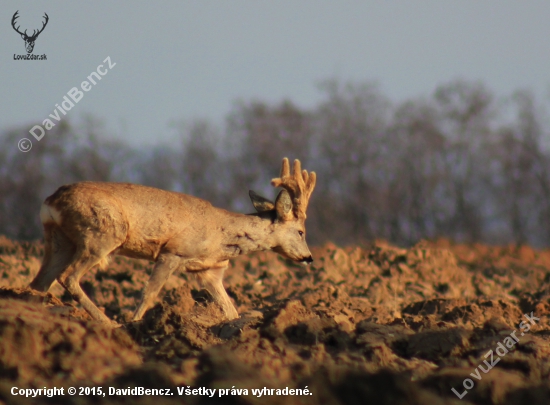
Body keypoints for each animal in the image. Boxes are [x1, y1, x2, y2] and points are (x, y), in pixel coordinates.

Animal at [29, 156, 314, 324]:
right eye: (301, 231)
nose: (309, 258)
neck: (220, 235)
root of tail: (51, 201)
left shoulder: (209, 270)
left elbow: (230, 309)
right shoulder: (173, 252)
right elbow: (149, 293)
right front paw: (134, 324)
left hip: (60, 241)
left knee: (39, 282)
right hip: (102, 234)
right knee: (68, 277)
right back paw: (109, 324)